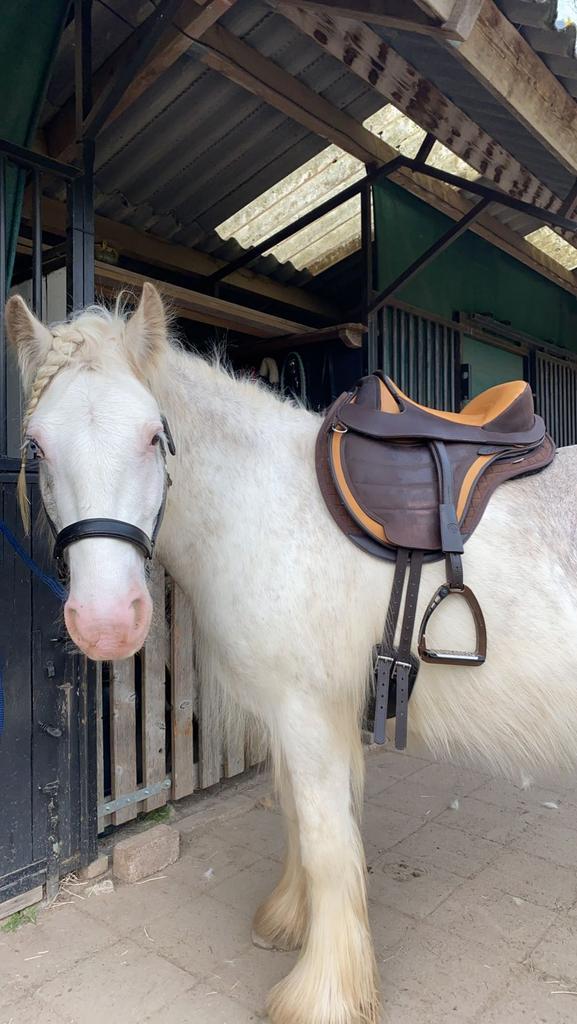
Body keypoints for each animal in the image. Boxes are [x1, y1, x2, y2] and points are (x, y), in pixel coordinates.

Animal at [5, 282, 577, 1024]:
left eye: (153, 436)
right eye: (38, 447)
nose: (105, 623)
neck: (267, 504)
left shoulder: (308, 713)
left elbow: (327, 842)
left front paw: (323, 994)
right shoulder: (297, 714)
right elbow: (304, 827)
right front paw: (288, 922)